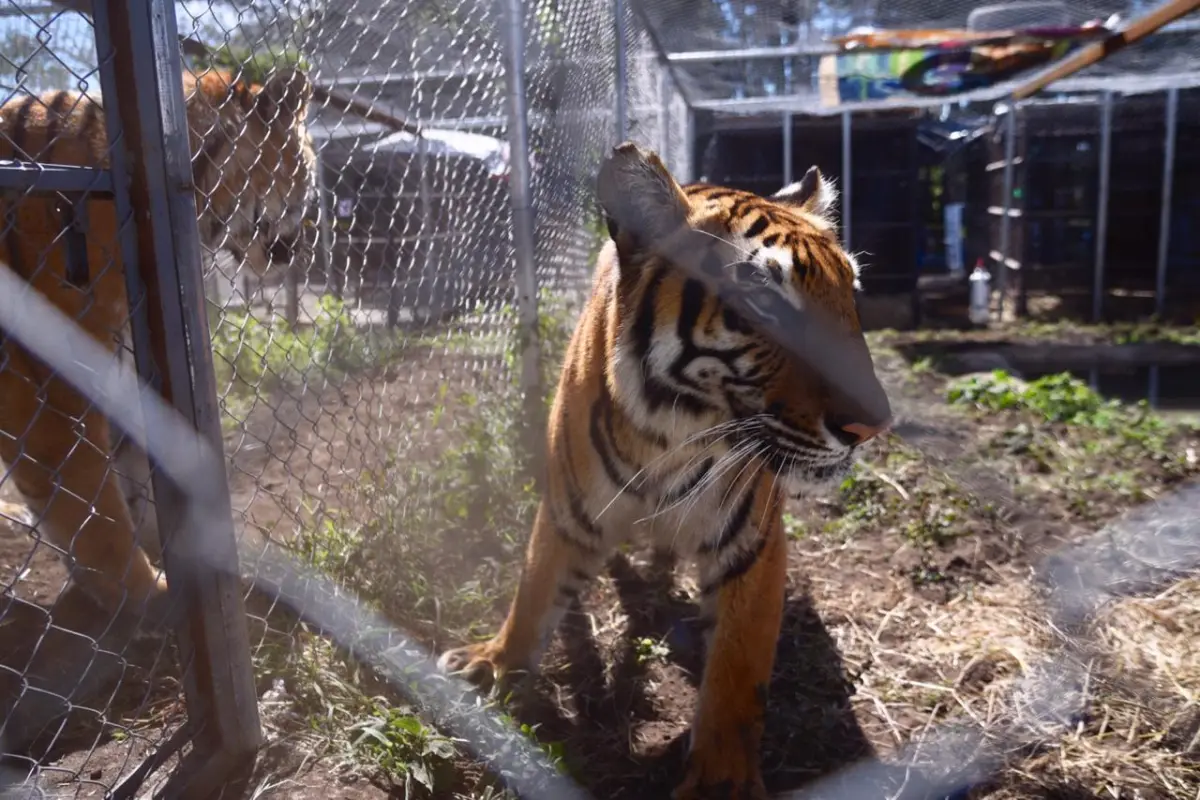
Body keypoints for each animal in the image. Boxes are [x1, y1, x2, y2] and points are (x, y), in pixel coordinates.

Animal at [0, 65, 316, 623]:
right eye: (306, 176)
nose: (306, 245)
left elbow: (134, 490)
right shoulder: (55, 398)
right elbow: (95, 511)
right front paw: (147, 596)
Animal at [441, 143, 892, 800]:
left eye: (850, 298)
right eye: (763, 300)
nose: (875, 424)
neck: (673, 435)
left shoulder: (751, 543)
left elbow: (737, 669)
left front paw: (721, 782)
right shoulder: (569, 511)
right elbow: (535, 588)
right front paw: (495, 662)